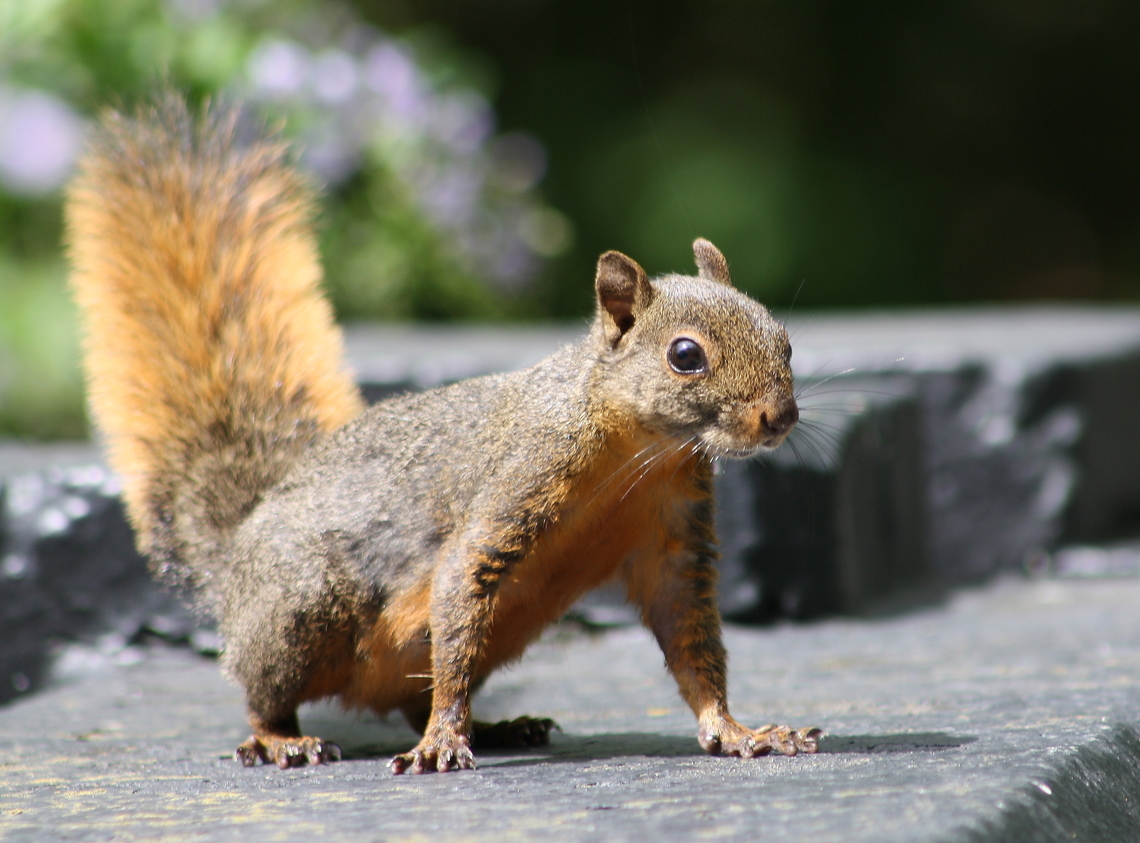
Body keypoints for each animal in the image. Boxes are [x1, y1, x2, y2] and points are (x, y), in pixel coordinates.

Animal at [66, 95, 819, 774]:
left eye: (784, 339)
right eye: (685, 355)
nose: (778, 417)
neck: (637, 448)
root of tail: (236, 553)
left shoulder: (672, 536)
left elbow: (691, 639)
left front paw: (738, 730)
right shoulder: (516, 484)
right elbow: (460, 584)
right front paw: (440, 745)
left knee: (410, 693)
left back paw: (495, 726)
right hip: (301, 609)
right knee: (267, 691)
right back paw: (287, 740)